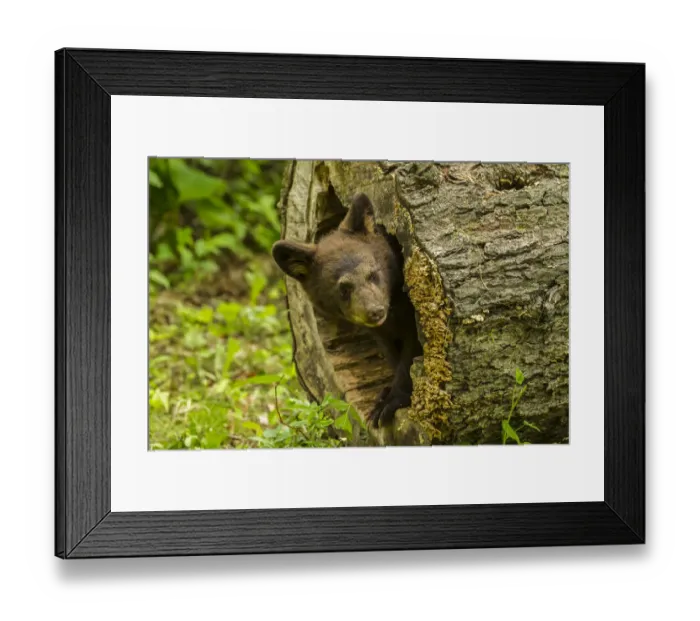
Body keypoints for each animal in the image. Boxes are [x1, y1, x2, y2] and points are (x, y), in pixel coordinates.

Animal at [272, 193, 423, 428]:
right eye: (343, 289)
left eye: (373, 274)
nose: (375, 311)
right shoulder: (380, 331)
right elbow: (390, 351)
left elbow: (410, 354)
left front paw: (389, 402)